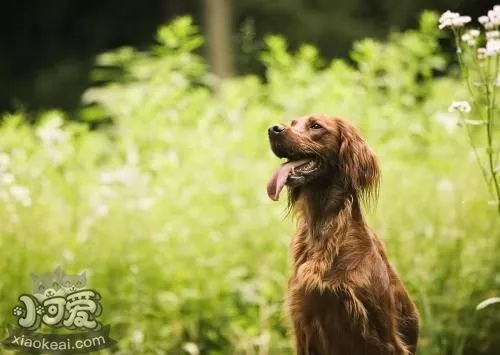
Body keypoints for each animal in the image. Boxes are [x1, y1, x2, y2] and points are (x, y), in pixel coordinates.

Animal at [266, 115, 418, 354]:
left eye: (316, 126)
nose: (273, 129)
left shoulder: (384, 336)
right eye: (293, 123)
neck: (323, 232)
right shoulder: (303, 325)